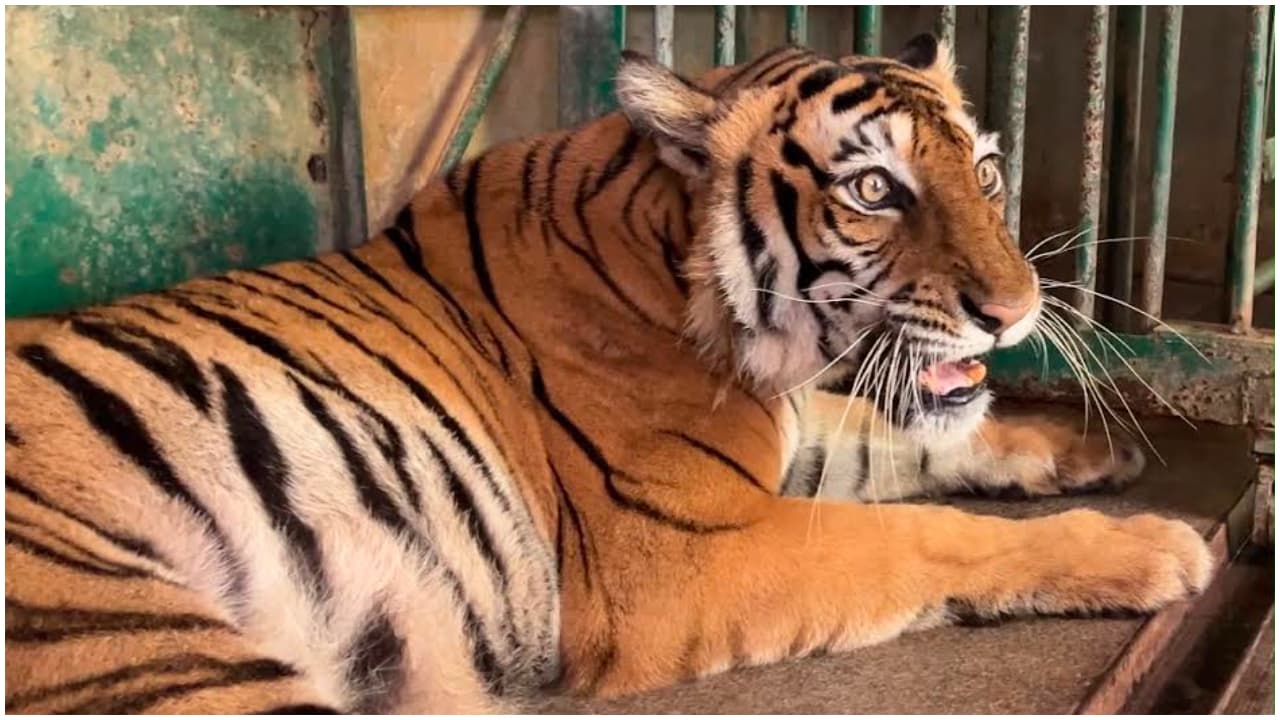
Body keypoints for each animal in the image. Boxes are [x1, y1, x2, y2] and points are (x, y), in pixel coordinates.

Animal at [5, 34, 1210, 713]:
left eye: (987, 172)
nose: (1014, 310)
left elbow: (897, 437)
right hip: (143, 644)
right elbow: (920, 533)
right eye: (873, 190)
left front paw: (1087, 449)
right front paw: (1154, 547)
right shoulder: (682, 550)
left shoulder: (776, 439)